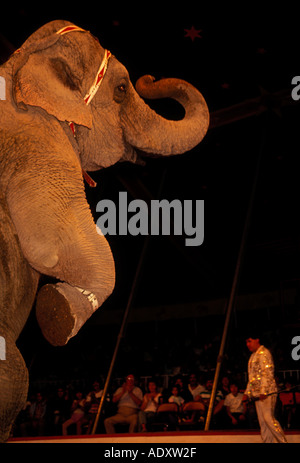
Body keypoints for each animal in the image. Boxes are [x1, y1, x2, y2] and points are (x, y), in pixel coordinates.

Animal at [0, 19, 209, 442]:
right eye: (123, 88)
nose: (150, 77)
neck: (22, 60)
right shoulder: (40, 144)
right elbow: (53, 246)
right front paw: (57, 314)